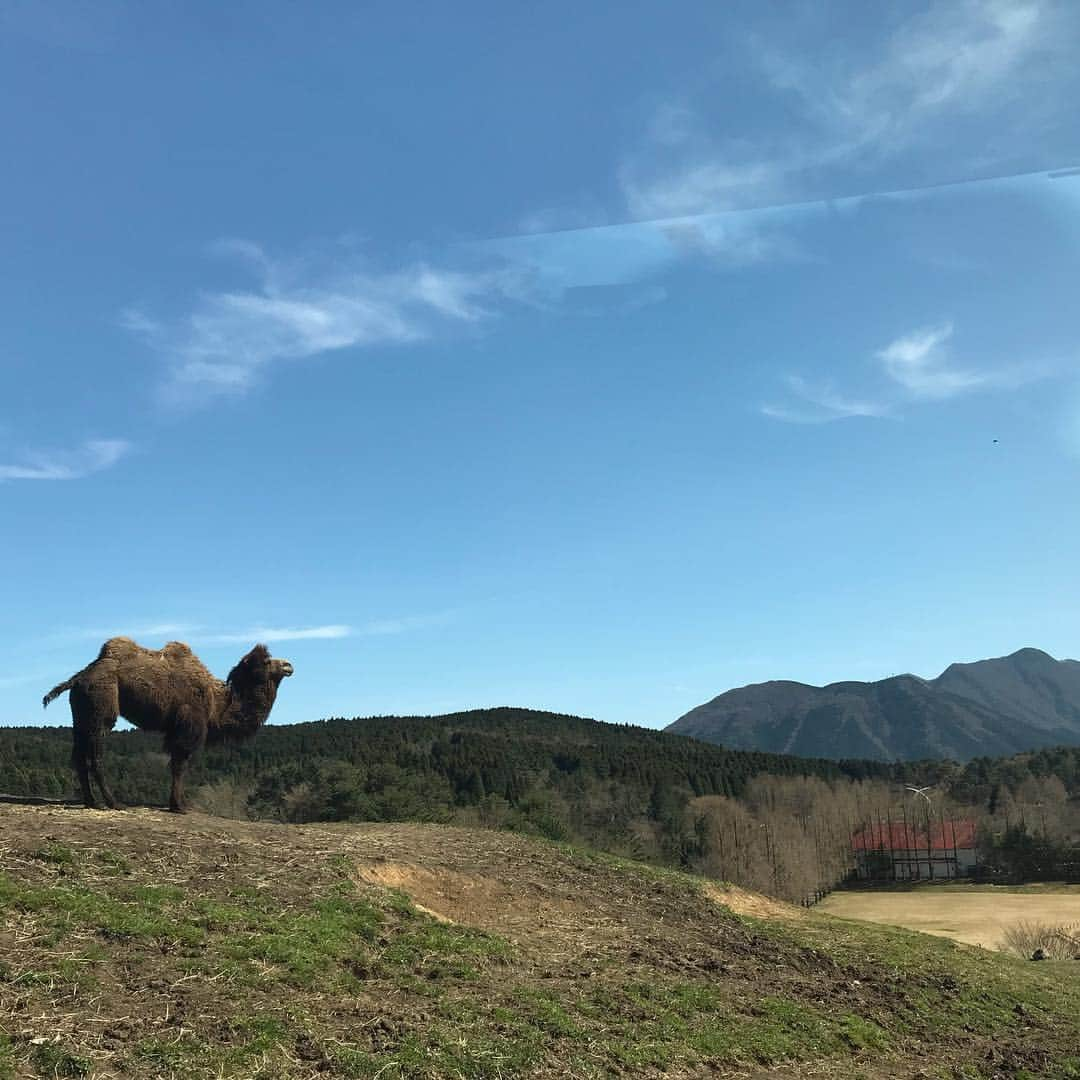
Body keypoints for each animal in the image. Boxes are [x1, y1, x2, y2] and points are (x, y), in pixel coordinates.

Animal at [43, 630, 291, 812]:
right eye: (267, 662)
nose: (289, 665)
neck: (217, 705)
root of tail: (79, 677)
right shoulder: (188, 726)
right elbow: (180, 764)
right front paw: (179, 806)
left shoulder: (175, 729)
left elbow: (175, 764)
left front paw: (177, 803)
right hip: (101, 708)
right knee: (96, 755)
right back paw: (113, 803)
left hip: (81, 716)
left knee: (79, 756)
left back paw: (91, 801)